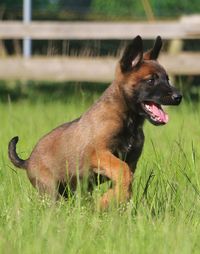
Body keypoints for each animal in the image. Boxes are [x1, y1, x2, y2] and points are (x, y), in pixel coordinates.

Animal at [8, 35, 182, 209]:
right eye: (151, 80)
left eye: (167, 79)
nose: (178, 97)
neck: (128, 120)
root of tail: (28, 160)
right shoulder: (98, 153)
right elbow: (123, 171)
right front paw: (106, 201)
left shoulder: (131, 162)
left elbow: (126, 180)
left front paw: (111, 200)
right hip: (51, 191)